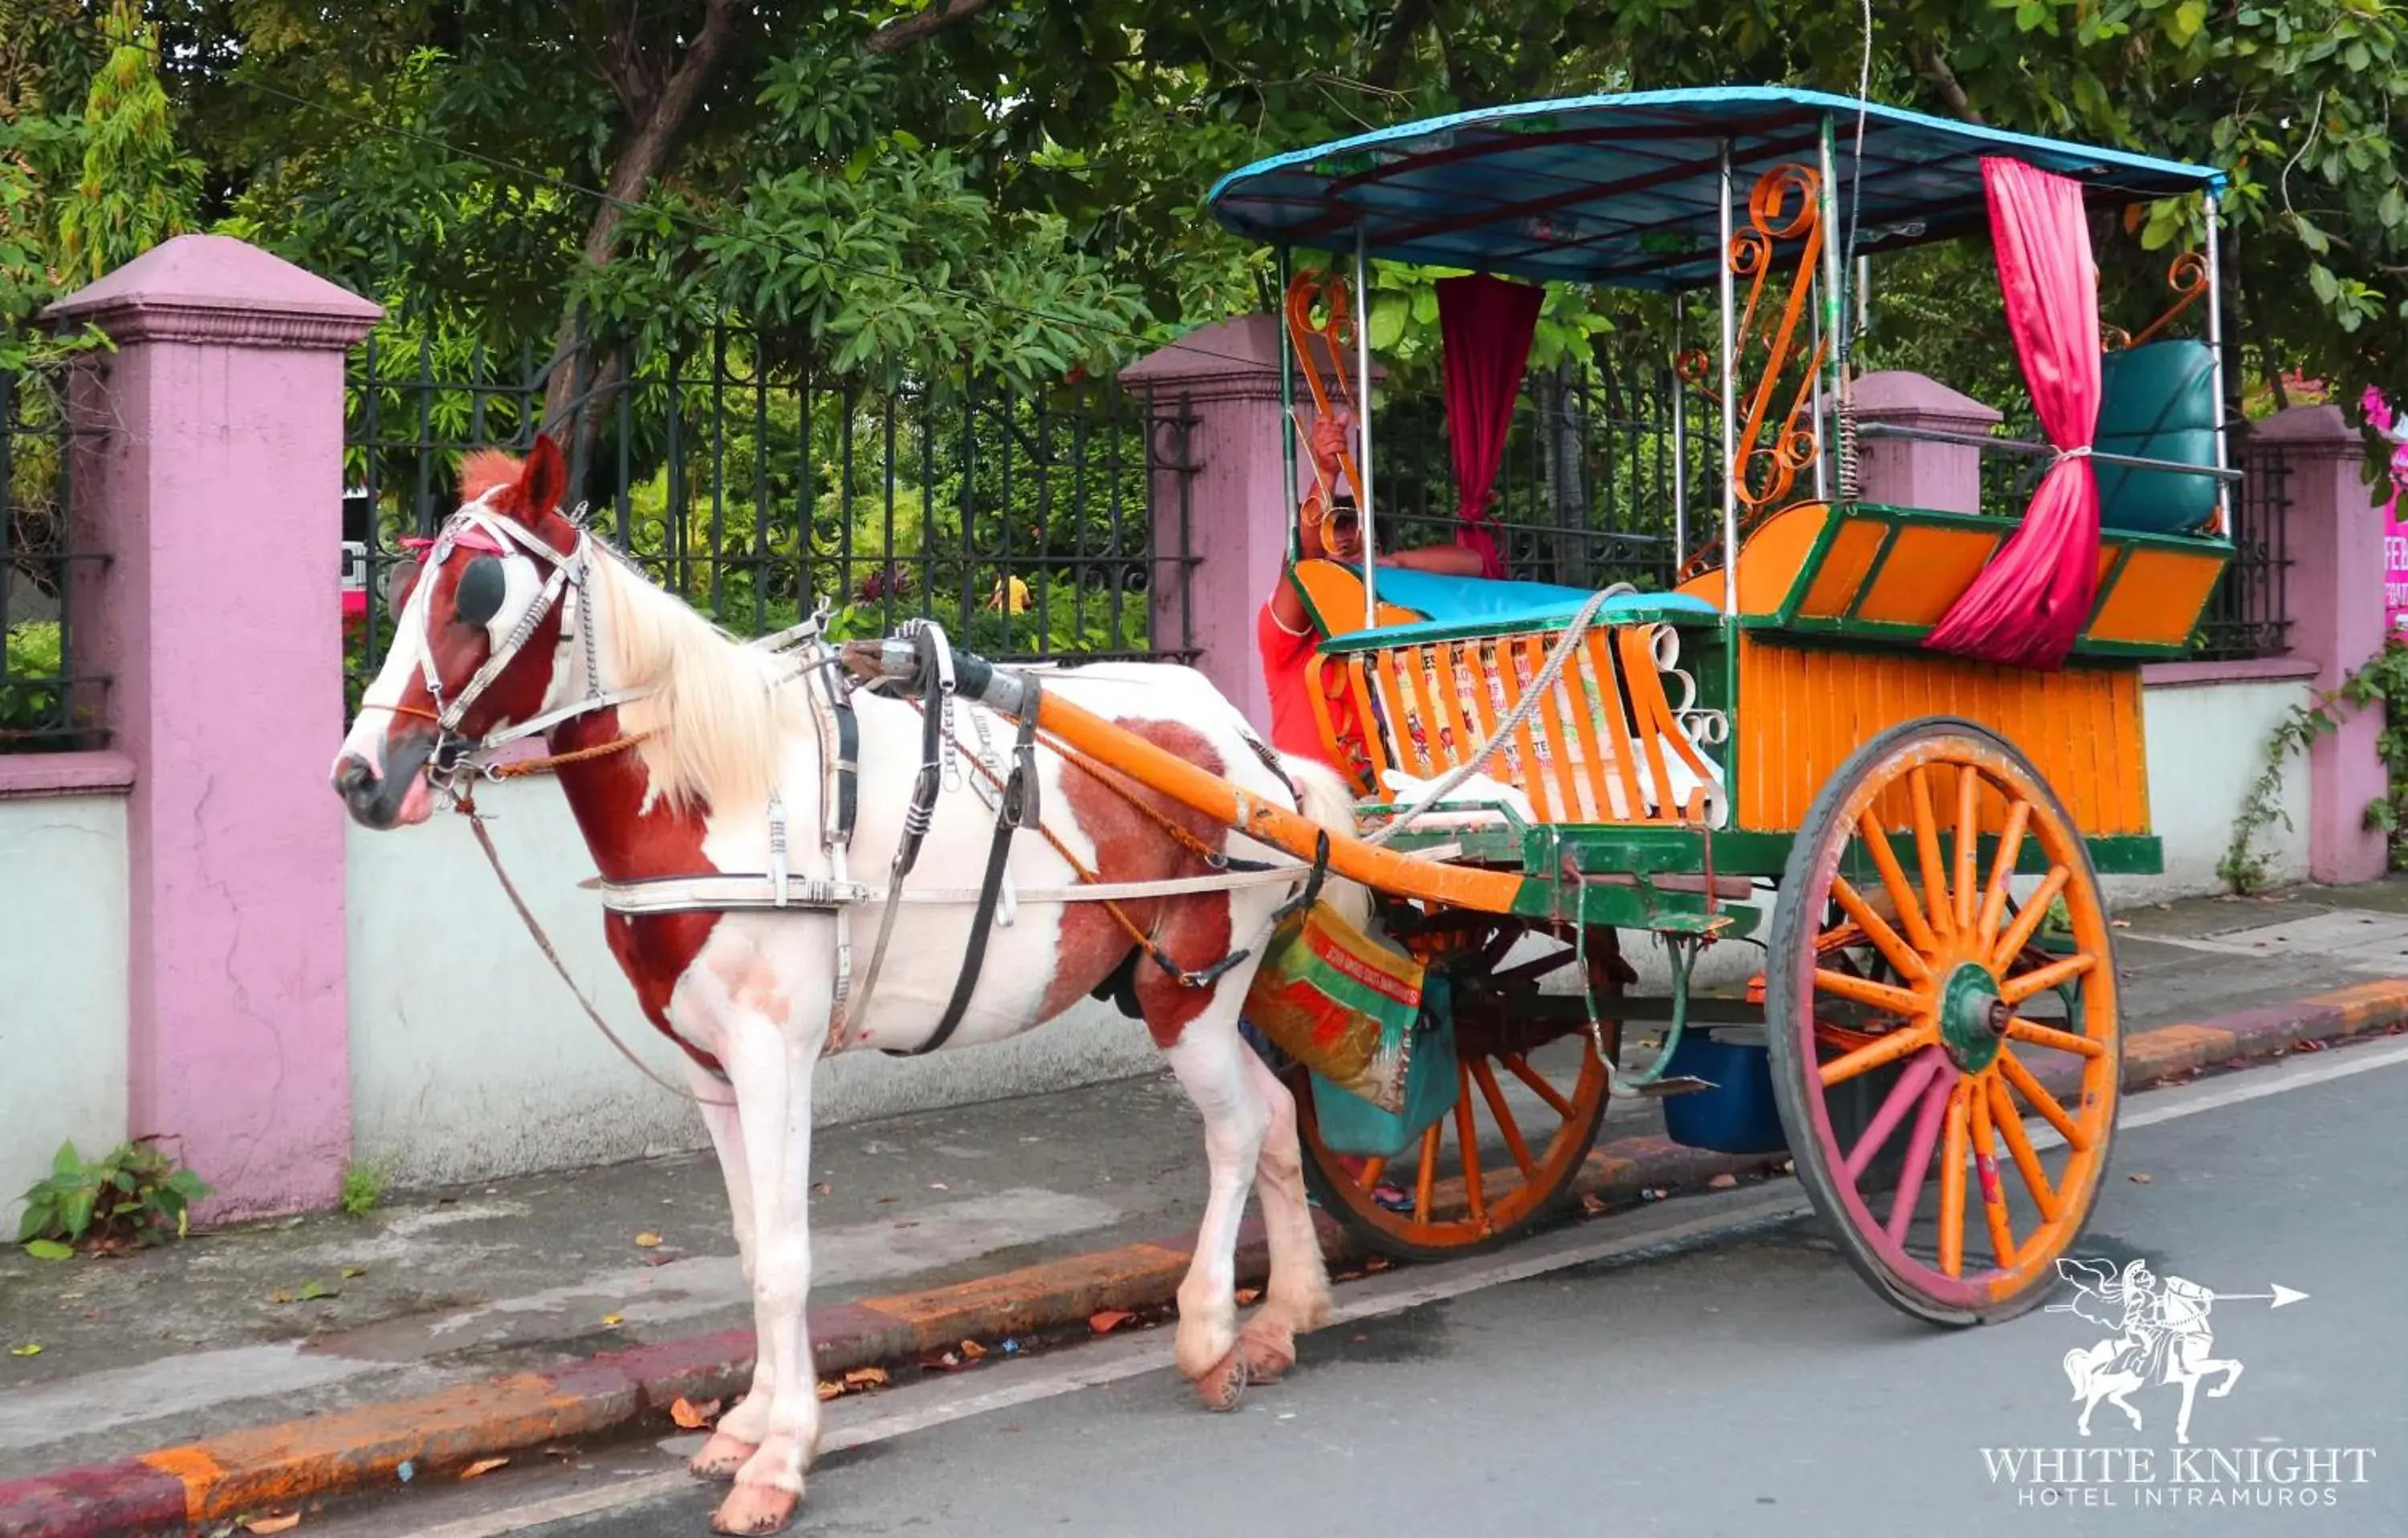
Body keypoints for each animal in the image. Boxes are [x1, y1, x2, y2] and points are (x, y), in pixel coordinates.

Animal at [330, 435, 1368, 1538]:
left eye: (476, 591)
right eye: (399, 585)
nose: (361, 775)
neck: (721, 792)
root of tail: (1254, 752)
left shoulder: (773, 1054)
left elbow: (787, 1260)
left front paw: (781, 1455)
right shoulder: (709, 1068)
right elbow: (752, 1247)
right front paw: (746, 1421)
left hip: (1193, 990)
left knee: (1235, 1130)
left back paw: (1212, 1333)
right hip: (1191, 991)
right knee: (1273, 1113)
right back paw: (1286, 1313)